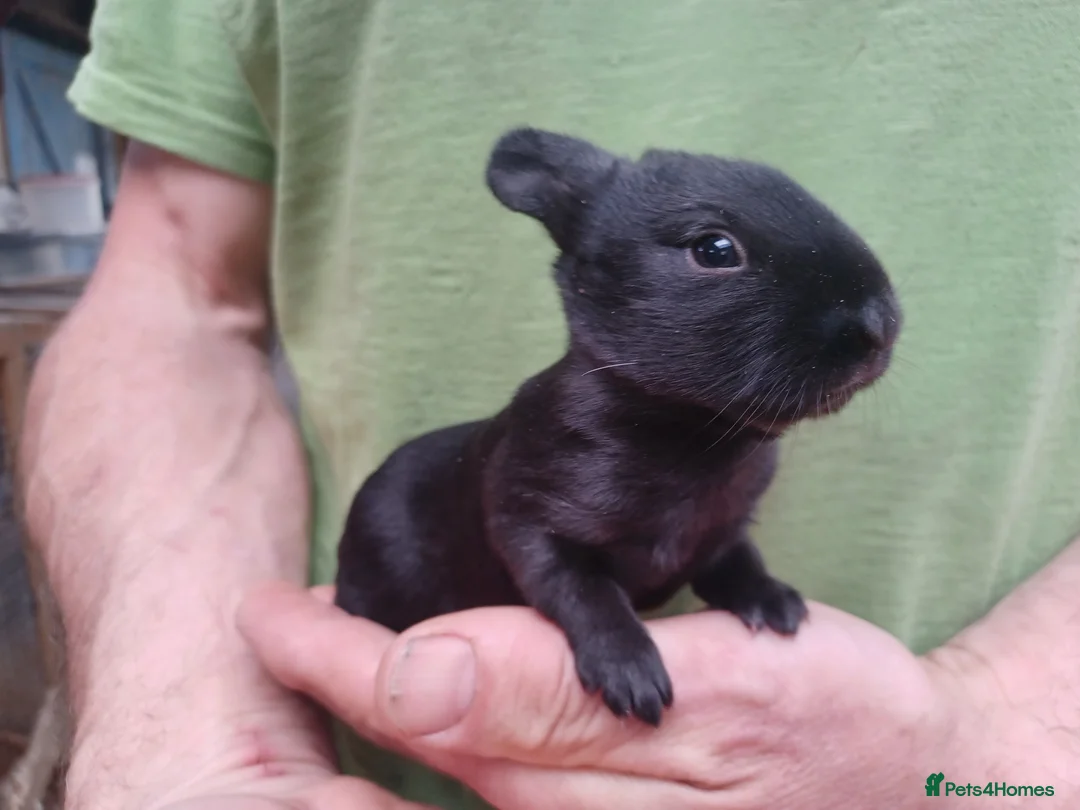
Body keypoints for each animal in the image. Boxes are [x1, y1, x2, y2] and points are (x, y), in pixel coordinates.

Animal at [334, 127, 902, 726]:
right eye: (715, 249)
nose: (878, 323)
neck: (693, 435)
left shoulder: (724, 529)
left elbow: (736, 559)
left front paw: (769, 596)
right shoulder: (529, 521)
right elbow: (583, 591)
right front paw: (626, 664)